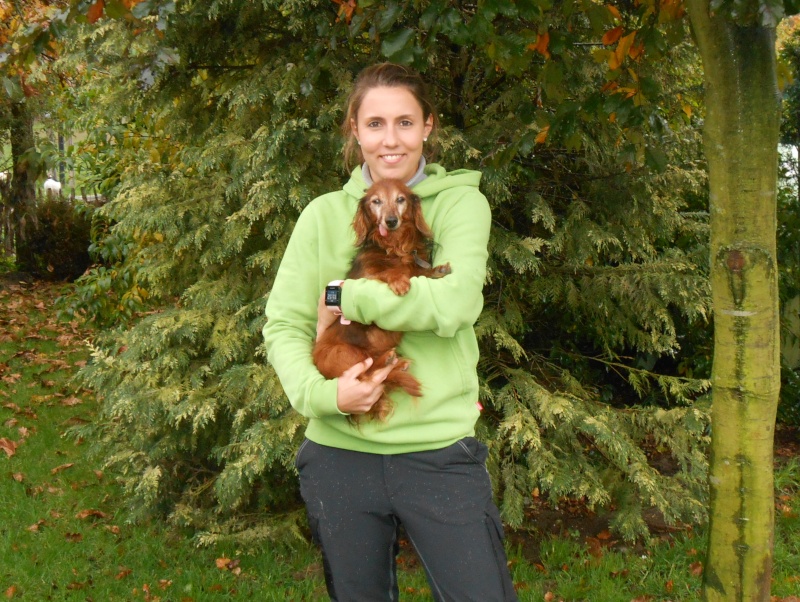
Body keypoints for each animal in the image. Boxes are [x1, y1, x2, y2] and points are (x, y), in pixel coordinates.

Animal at [312, 179, 451, 423]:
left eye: (400, 199)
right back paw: (387, 361)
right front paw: (399, 280)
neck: (395, 246)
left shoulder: (414, 264)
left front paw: (436, 271)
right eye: (376, 201)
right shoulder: (366, 277)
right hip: (344, 354)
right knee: (367, 372)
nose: (391, 221)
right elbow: (388, 271)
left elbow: (418, 271)